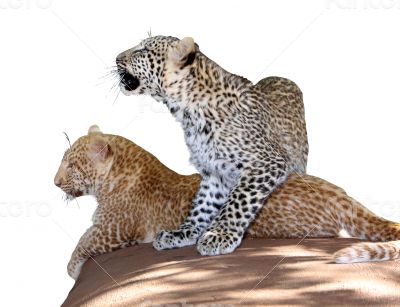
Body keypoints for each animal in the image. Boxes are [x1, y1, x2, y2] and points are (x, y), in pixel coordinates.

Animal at [55, 126, 400, 280]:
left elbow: (83, 242)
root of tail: (338, 192)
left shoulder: (112, 229)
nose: (55, 182)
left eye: (71, 165)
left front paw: (71, 269)